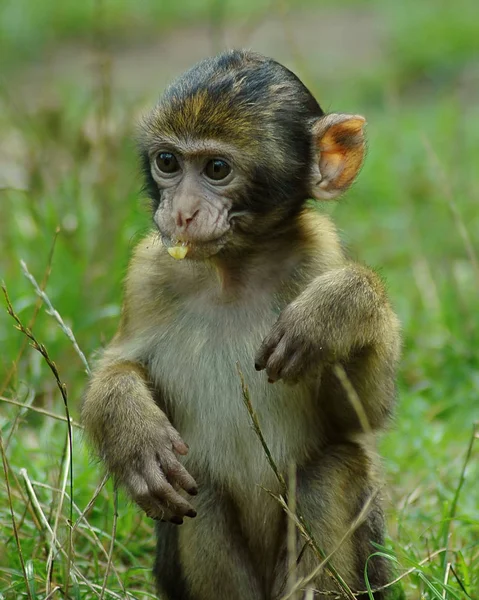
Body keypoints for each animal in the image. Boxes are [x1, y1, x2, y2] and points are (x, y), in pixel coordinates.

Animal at [82, 49, 402, 596]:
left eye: (216, 168)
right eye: (168, 162)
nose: (182, 214)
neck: (233, 271)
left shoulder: (318, 257)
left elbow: (358, 417)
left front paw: (340, 309)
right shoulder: (147, 272)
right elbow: (119, 367)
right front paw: (131, 432)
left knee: (331, 467)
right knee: (202, 487)